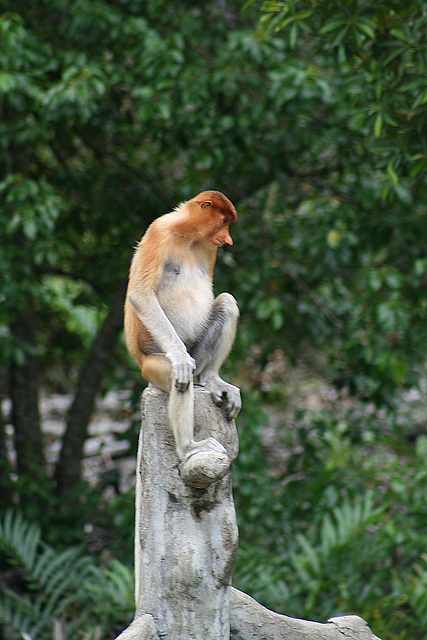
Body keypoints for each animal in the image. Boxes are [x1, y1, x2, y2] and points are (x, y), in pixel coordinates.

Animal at [125, 190, 242, 490]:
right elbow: (141, 294)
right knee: (178, 378)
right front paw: (180, 360)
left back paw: (211, 378)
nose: (228, 240)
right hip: (151, 366)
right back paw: (188, 447)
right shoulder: (159, 231)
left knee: (227, 303)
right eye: (224, 222)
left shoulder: (209, 249)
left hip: (198, 353)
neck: (188, 234)